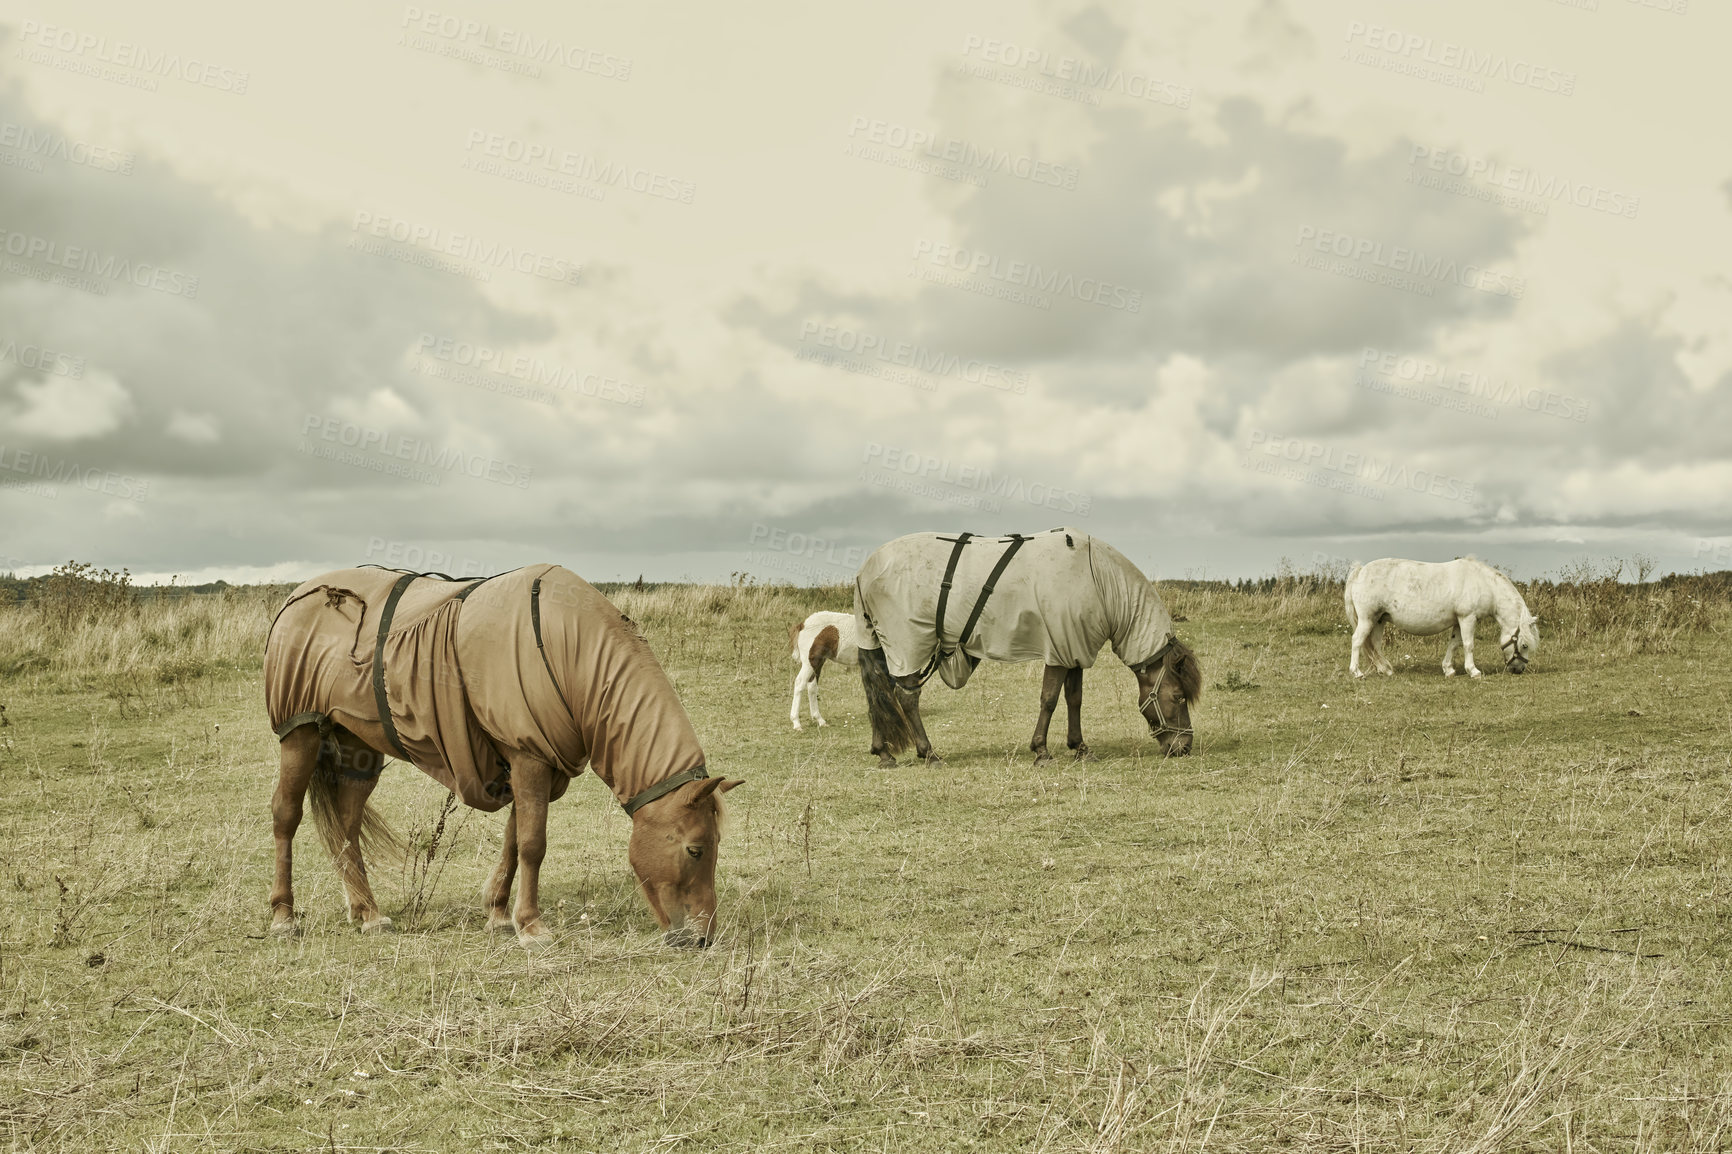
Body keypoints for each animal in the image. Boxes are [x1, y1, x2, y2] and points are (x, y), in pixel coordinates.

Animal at [261, 561, 737, 949]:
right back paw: (284, 917)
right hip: (301, 731)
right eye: (696, 850)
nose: (702, 938)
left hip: (357, 745)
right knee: (286, 815)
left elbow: (513, 840)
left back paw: (367, 913)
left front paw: (500, 915)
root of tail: (300, 595)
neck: (565, 648)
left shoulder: (536, 763)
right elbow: (532, 844)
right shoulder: (529, 757)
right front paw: (531, 926)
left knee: (346, 824)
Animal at [852, 526, 1205, 762]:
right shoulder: (1059, 650)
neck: (1098, 580)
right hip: (908, 644)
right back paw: (928, 753)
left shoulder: (1073, 649)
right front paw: (1041, 750)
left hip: (880, 644)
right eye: (1178, 696)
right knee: (906, 698)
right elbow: (1049, 699)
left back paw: (883, 753)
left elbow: (1074, 699)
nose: (1184, 747)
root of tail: (864, 570)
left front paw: (1079, 747)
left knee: (877, 695)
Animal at [1344, 554, 1538, 675]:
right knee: (1357, 641)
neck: (1483, 583)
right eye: (1525, 645)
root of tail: (1361, 570)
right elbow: (1468, 645)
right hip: (1367, 619)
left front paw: (1448, 669)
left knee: (1375, 644)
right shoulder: (1468, 618)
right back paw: (1356, 672)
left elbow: (1454, 644)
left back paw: (1386, 670)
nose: (1519, 669)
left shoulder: (1459, 621)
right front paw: (1473, 671)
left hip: (1379, 620)